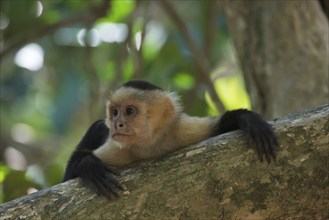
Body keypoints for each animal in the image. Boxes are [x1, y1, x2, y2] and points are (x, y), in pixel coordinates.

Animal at [61, 80, 276, 200]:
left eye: (129, 111)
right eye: (114, 112)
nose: (117, 124)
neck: (150, 144)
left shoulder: (181, 130)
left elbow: (219, 127)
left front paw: (247, 119)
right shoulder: (117, 148)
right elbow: (68, 177)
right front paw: (89, 166)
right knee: (98, 126)